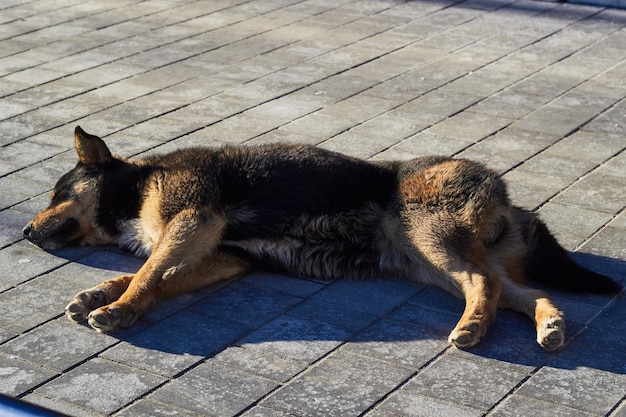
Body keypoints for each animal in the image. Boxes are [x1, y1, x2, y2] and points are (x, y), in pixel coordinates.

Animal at [23, 125, 620, 350]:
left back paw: (472, 327)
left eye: (57, 192)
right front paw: (102, 293)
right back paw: (548, 324)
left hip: (430, 237)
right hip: (432, 261)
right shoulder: (223, 254)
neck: (136, 185)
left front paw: (119, 308)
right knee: (520, 291)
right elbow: (149, 274)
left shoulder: (193, 221)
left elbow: (148, 274)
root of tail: (506, 193)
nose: (24, 231)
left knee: (486, 287)